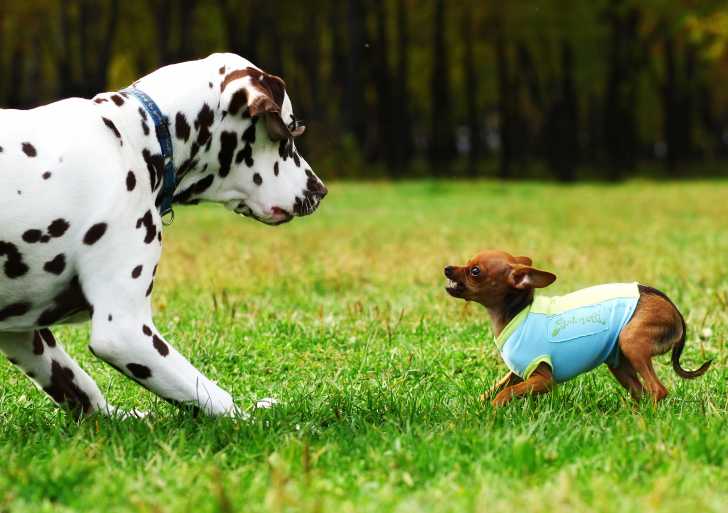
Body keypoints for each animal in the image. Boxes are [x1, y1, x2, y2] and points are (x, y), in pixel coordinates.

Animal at [0, 53, 326, 416]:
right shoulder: (124, 330)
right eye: (288, 134)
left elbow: (84, 391)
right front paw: (251, 418)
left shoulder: (22, 334)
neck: (135, 139)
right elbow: (213, 397)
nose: (320, 190)